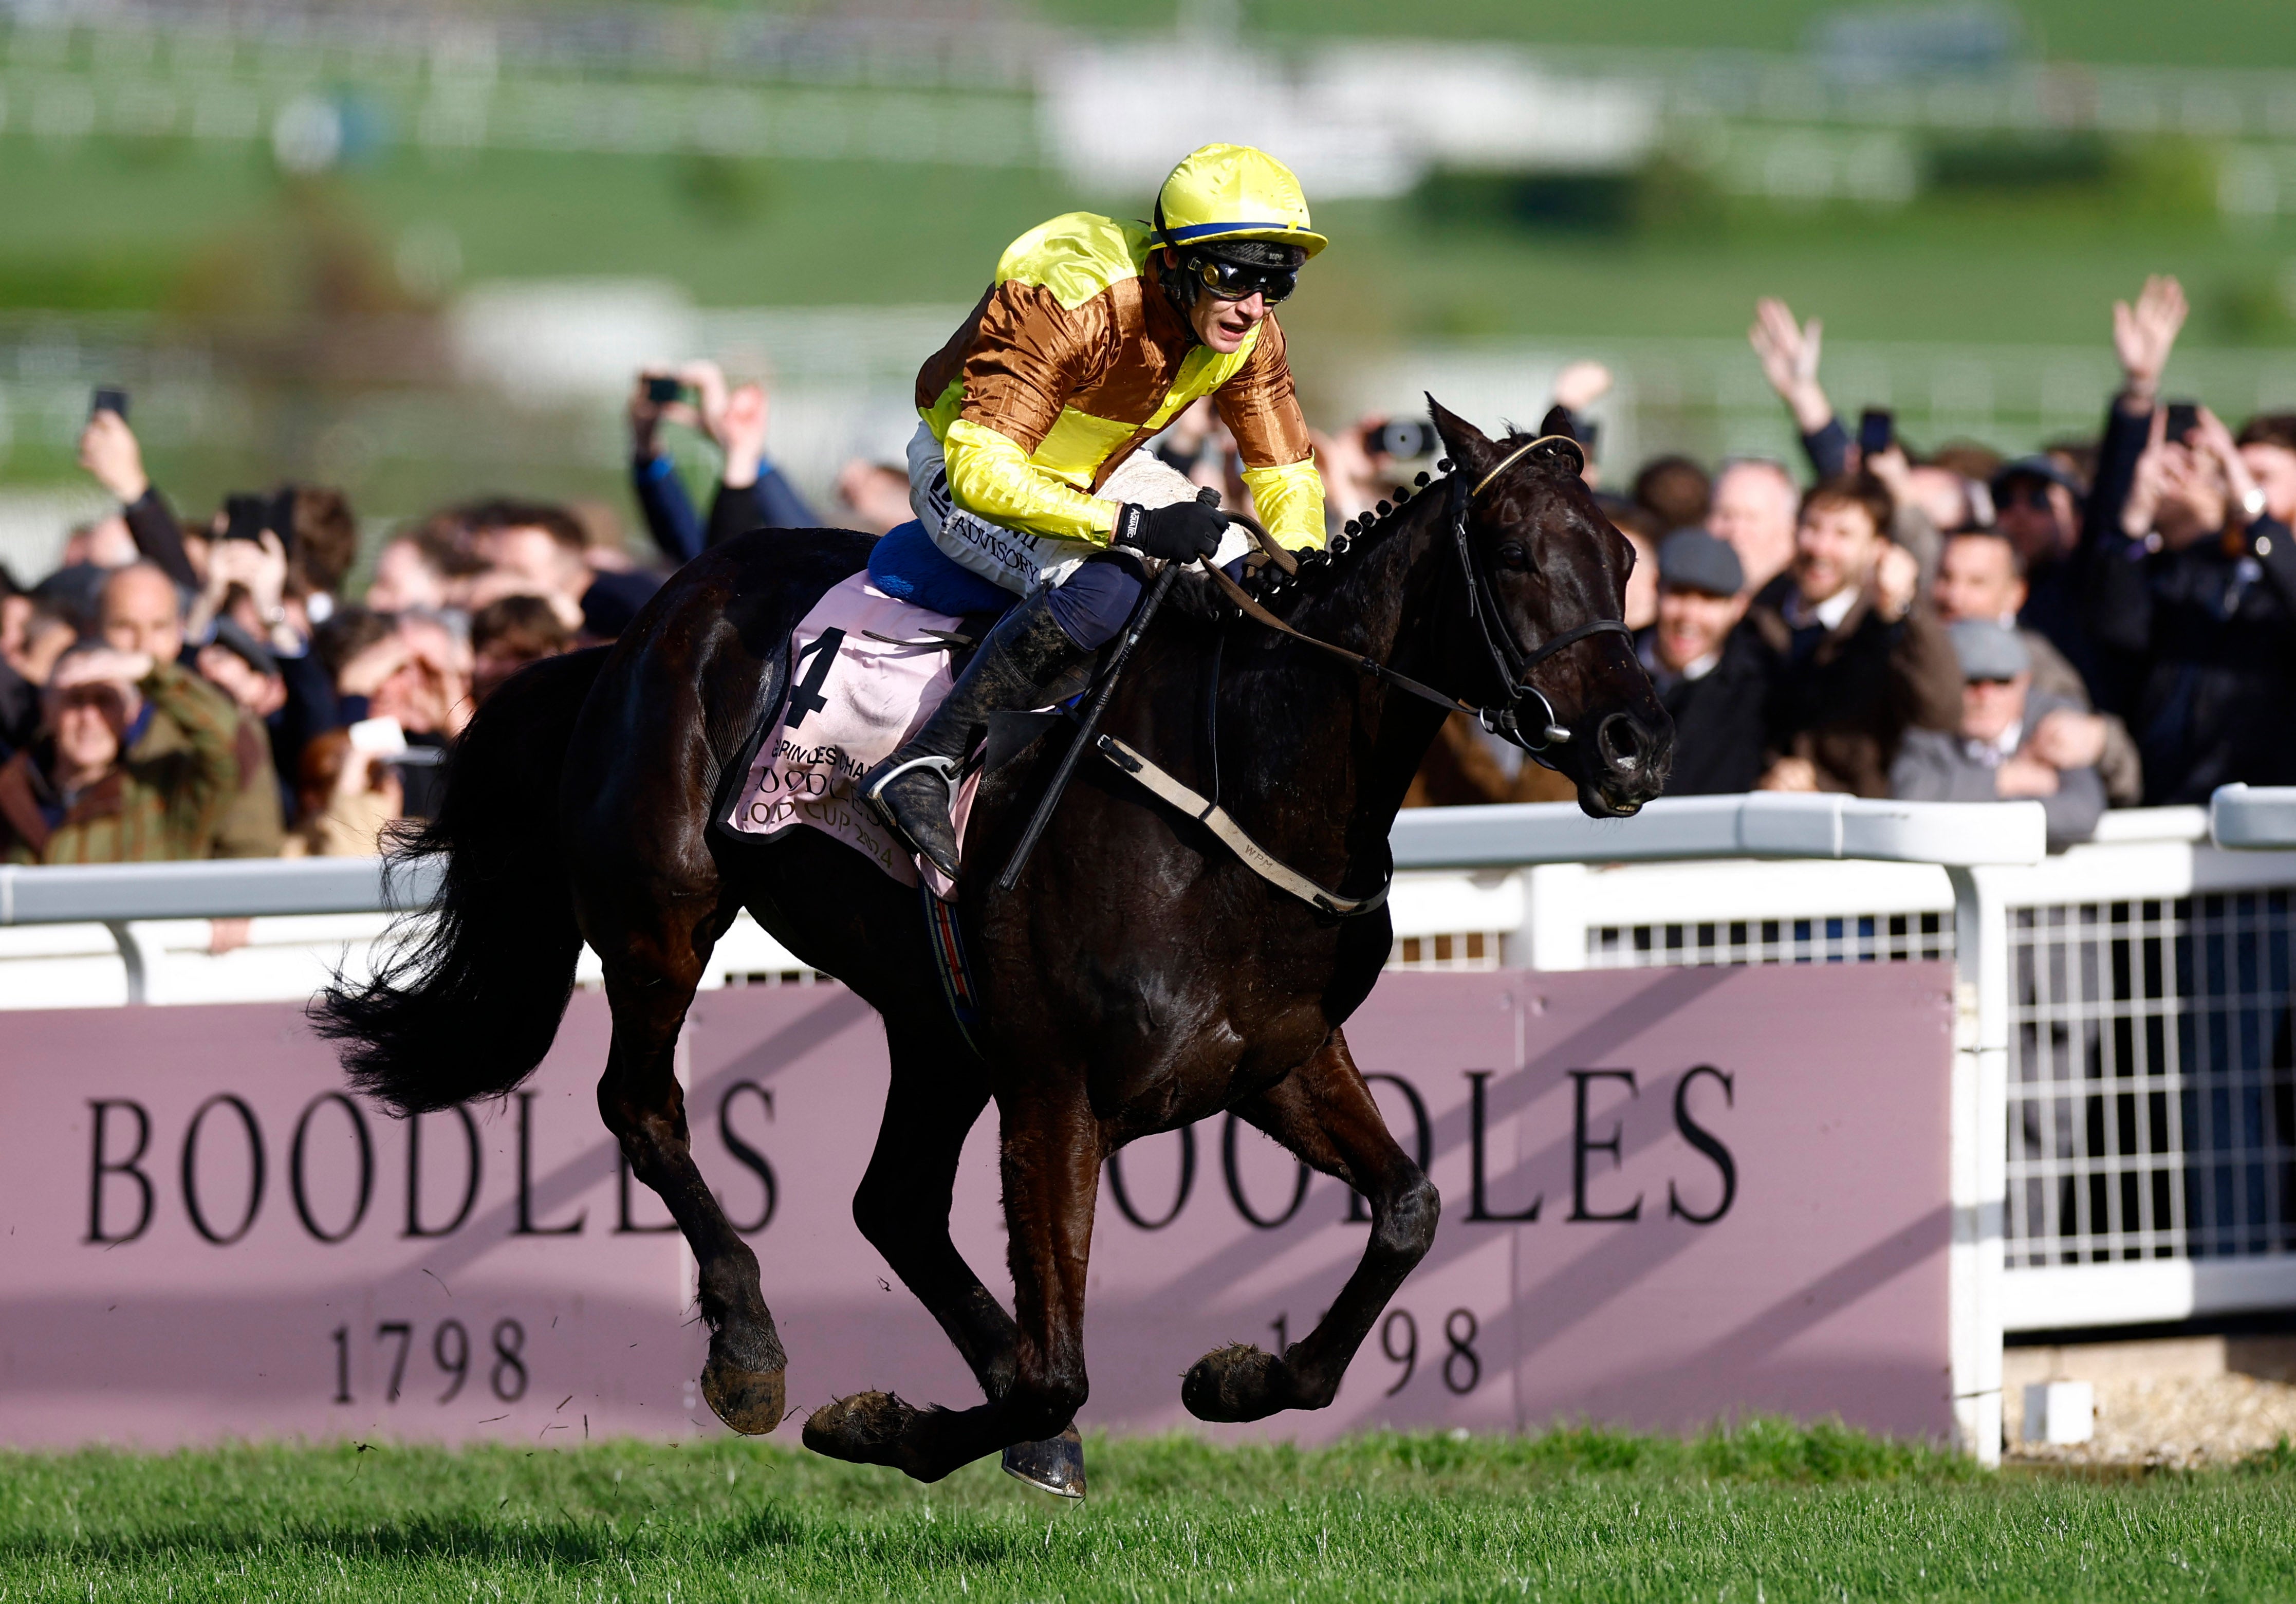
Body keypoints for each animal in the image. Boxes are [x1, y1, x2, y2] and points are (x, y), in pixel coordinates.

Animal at [319, 401, 1671, 1496]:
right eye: (1514, 555)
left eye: (1622, 557)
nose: (1633, 744)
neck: (1236, 778)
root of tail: (639, 623)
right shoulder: (1057, 1086)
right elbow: (1057, 1366)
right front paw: (878, 1423)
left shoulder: (1271, 1057)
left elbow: (1409, 1211)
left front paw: (1236, 1377)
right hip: (666, 915)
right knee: (644, 1105)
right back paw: (750, 1351)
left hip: (933, 1016)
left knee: (894, 1202)